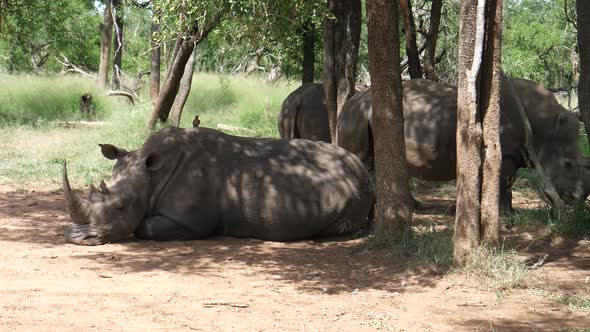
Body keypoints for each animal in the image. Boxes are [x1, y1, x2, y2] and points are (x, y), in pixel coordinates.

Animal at [61, 126, 374, 245]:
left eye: (120, 207)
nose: (76, 238)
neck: (151, 175)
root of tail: (361, 168)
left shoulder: (190, 222)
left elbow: (143, 227)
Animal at [338, 78, 588, 210]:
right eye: (567, 164)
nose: (577, 201)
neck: (542, 126)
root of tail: (349, 102)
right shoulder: (505, 153)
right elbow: (505, 183)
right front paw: (507, 215)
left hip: (362, 114)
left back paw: (412, 207)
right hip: (357, 115)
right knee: (358, 158)